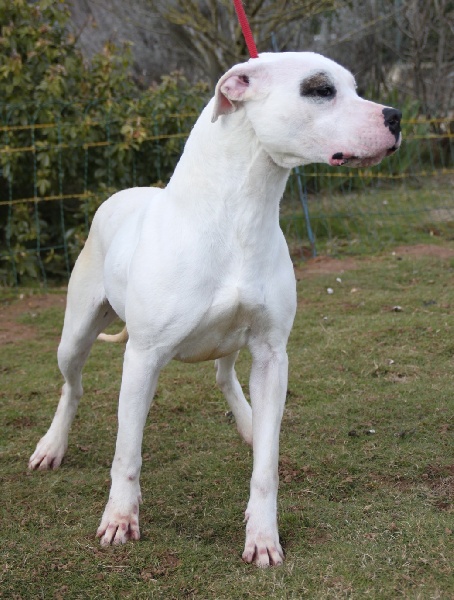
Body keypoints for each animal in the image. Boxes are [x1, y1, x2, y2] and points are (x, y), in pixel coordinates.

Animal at [28, 52, 401, 567]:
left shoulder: (272, 354)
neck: (239, 213)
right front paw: (120, 518)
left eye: (355, 87)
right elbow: (127, 454)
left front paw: (263, 534)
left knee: (225, 378)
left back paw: (249, 424)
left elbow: (266, 466)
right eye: (320, 90)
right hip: (76, 335)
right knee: (73, 387)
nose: (396, 117)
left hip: (232, 342)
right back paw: (52, 445)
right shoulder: (143, 357)